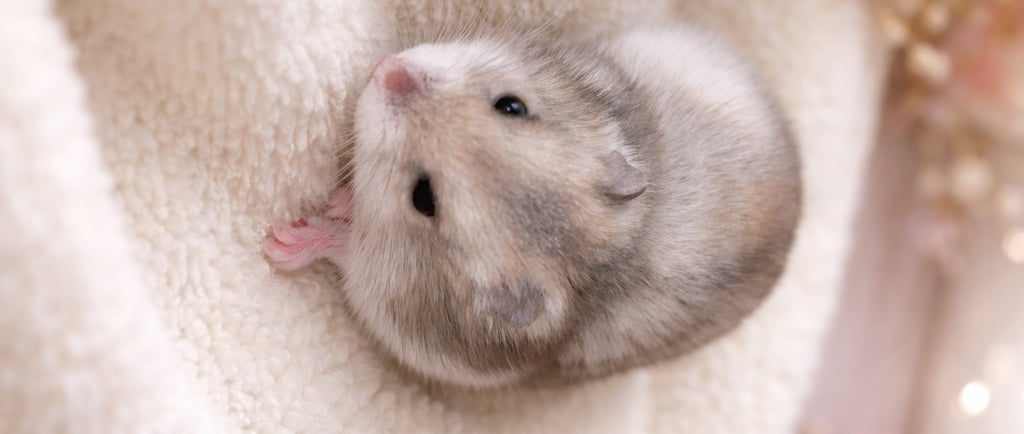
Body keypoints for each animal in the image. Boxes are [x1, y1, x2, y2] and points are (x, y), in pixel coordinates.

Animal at [263, 26, 802, 389]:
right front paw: (339, 198)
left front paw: (280, 242)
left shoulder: (380, 293)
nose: (390, 69)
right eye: (512, 105)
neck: (602, 258)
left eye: (424, 198)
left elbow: (345, 246)